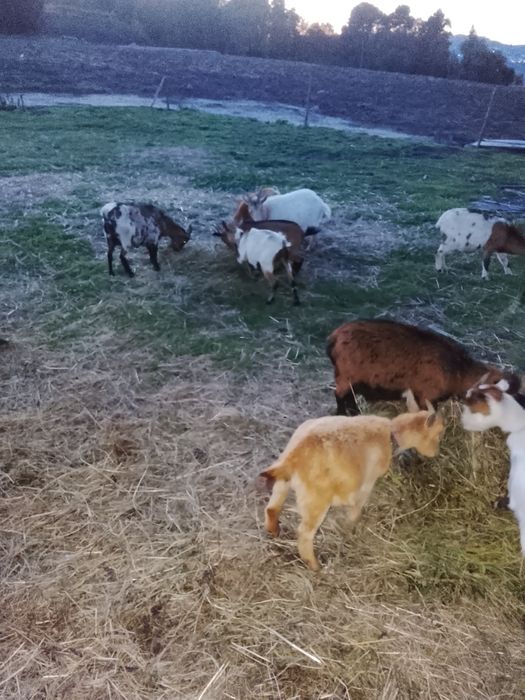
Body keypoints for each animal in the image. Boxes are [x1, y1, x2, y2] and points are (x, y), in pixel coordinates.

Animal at [260, 392, 444, 571]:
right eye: (438, 434)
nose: (436, 453)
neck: (391, 434)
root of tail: (292, 459)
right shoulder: (368, 481)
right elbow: (357, 506)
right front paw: (351, 526)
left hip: (283, 483)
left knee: (271, 508)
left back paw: (274, 532)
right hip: (316, 499)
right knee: (304, 533)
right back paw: (315, 566)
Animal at [326, 319, 520, 416]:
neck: (458, 371)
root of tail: (334, 337)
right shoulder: (426, 396)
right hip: (345, 376)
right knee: (340, 396)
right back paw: (345, 414)